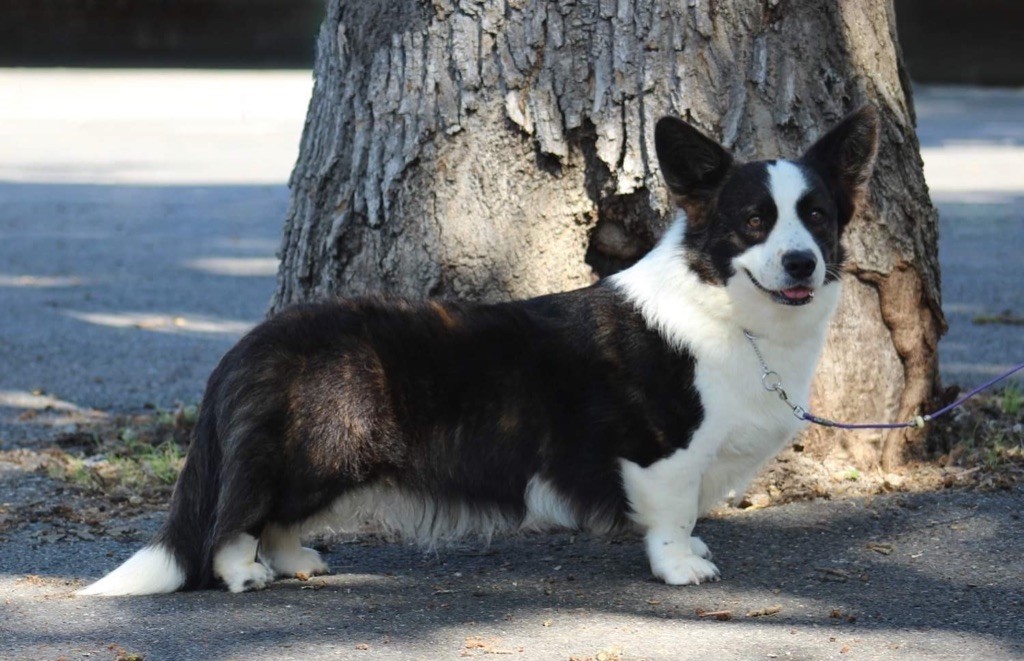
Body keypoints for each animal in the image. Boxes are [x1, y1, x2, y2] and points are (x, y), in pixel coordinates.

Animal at [79, 106, 880, 597]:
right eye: (753, 221)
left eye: (818, 217)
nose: (803, 263)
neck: (731, 312)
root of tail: (251, 344)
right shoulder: (663, 454)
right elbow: (673, 515)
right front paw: (682, 567)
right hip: (314, 452)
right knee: (238, 514)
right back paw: (242, 573)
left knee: (276, 519)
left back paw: (296, 560)